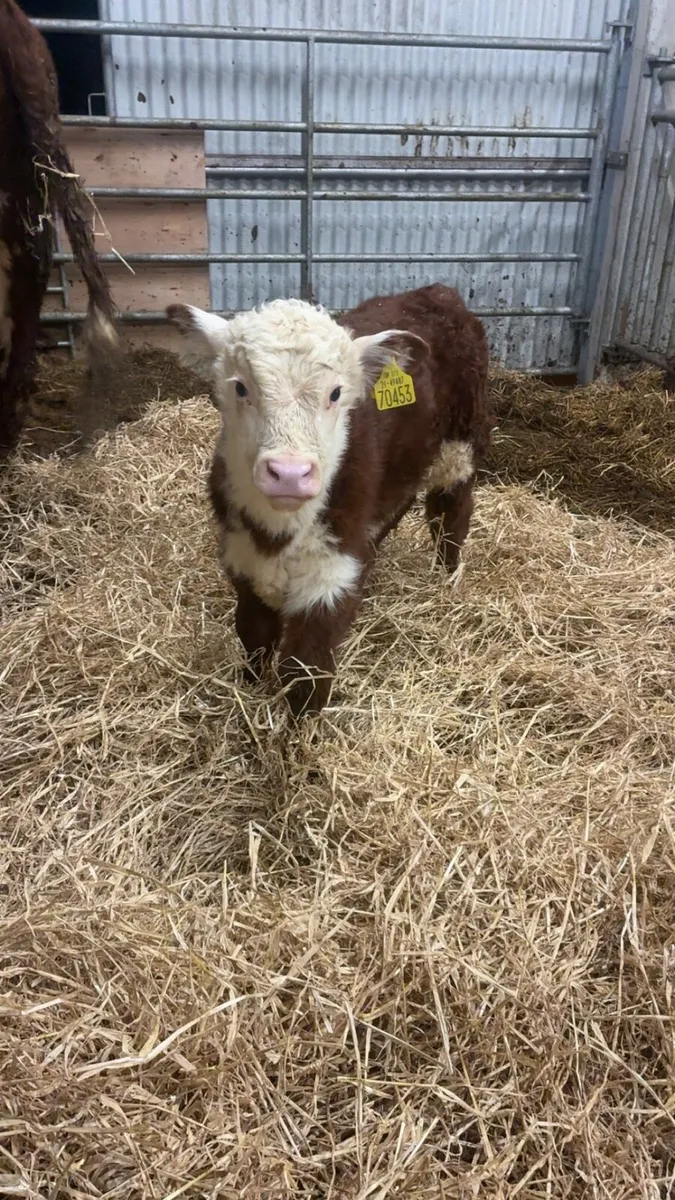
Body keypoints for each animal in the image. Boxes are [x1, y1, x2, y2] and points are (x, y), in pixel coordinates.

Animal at [167, 284, 493, 717]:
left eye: (336, 393)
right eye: (240, 387)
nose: (289, 472)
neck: (279, 532)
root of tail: (439, 292)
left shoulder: (331, 573)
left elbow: (306, 668)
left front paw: (295, 734)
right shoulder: (241, 554)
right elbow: (254, 635)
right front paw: (250, 690)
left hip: (461, 440)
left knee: (451, 512)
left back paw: (448, 576)